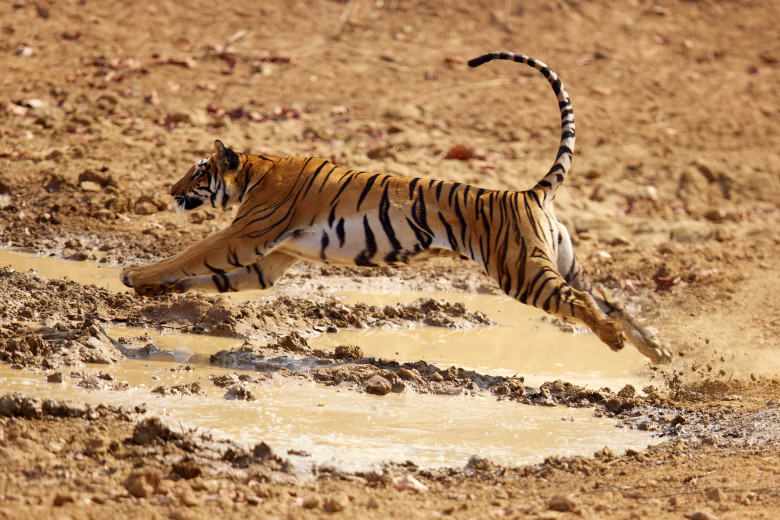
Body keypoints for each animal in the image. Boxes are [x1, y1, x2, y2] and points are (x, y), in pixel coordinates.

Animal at [120, 50, 672, 364]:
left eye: (197, 171)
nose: (169, 190)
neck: (256, 170)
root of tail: (530, 192)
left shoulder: (245, 235)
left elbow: (191, 254)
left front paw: (135, 275)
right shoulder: (272, 260)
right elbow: (211, 277)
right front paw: (153, 292)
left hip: (522, 271)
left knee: (582, 304)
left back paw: (615, 341)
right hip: (561, 262)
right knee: (615, 301)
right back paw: (658, 352)